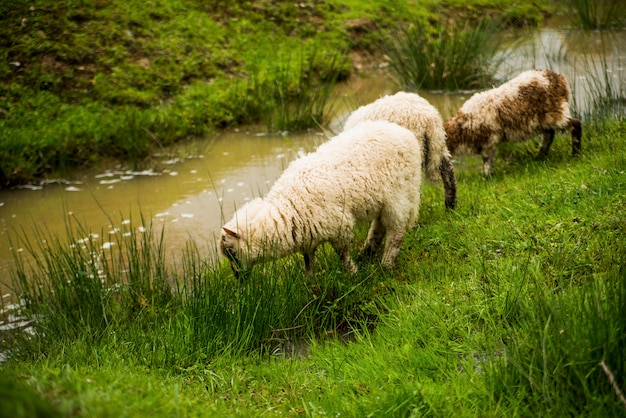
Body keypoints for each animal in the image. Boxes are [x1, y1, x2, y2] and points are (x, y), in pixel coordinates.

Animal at [218, 120, 420, 278]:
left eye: (232, 253)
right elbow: (308, 260)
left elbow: (342, 255)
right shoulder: (307, 234)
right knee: (379, 224)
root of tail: (404, 132)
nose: (238, 277)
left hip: (400, 193)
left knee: (396, 231)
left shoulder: (339, 225)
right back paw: (368, 252)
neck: (287, 208)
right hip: (383, 199)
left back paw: (386, 265)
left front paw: (352, 274)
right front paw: (310, 282)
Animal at [444, 68, 580, 176]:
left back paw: (575, 153)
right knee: (549, 135)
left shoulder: (490, 141)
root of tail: (559, 79)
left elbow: (487, 162)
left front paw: (487, 178)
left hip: (555, 113)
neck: (462, 126)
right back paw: (540, 157)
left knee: (575, 124)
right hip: (544, 120)